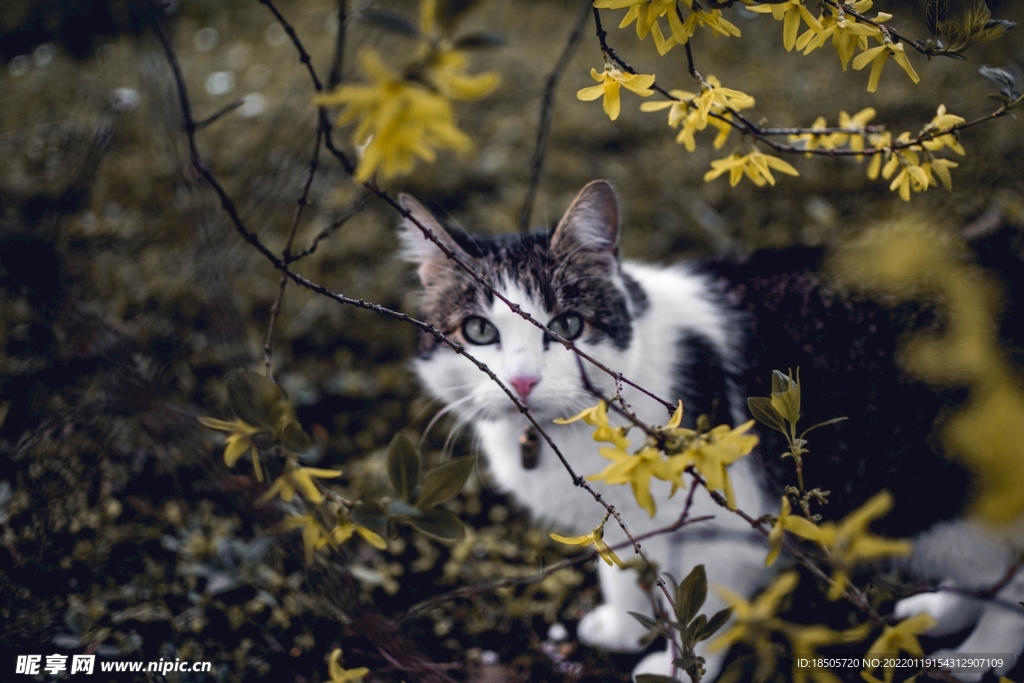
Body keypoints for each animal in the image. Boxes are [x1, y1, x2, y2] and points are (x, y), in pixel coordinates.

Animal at [399, 179, 1024, 679]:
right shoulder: (620, 515)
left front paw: (679, 669)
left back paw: (971, 662)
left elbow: (704, 608)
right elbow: (623, 569)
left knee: (1009, 582)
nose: (524, 381)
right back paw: (938, 613)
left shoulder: (727, 523)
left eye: (567, 326)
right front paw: (623, 630)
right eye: (479, 331)